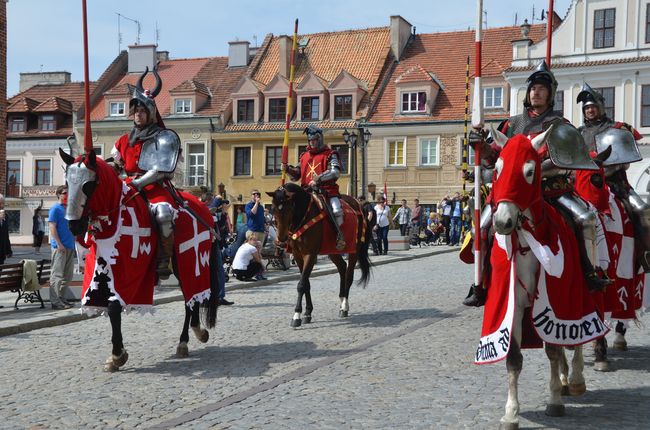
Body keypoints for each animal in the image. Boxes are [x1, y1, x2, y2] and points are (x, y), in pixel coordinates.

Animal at [268, 183, 370, 328]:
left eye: (289, 208)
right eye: (274, 209)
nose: (281, 239)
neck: (304, 215)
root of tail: (357, 203)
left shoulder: (310, 255)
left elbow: (301, 284)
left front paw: (297, 315)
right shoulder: (298, 256)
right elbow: (306, 283)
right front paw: (307, 313)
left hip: (353, 250)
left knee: (349, 276)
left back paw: (345, 306)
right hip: (332, 251)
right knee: (342, 267)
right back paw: (341, 301)